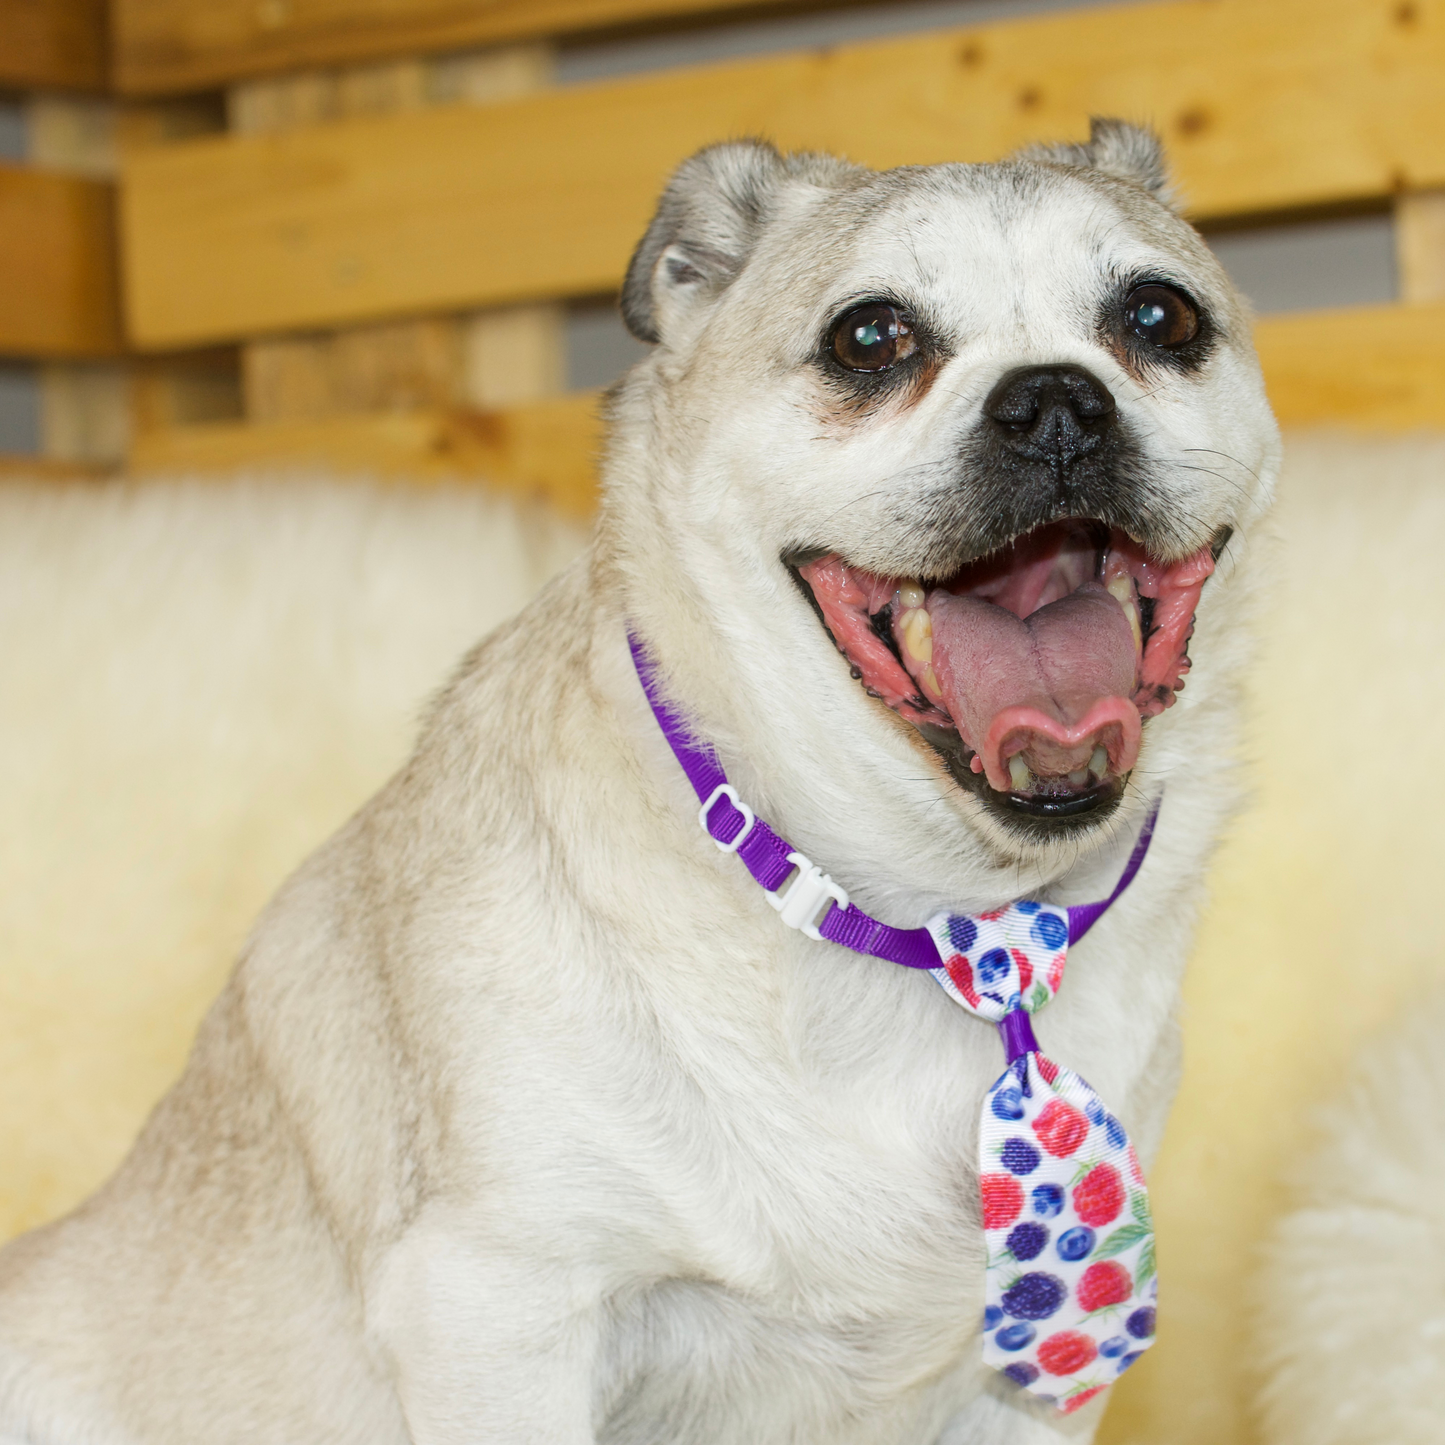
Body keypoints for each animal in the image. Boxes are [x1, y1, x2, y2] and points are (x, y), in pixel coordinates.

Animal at [0, 124, 1277, 1445]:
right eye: (869, 339)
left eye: (1159, 317)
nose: (1055, 398)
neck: (935, 921)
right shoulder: (498, 1310)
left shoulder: (1024, 1392)